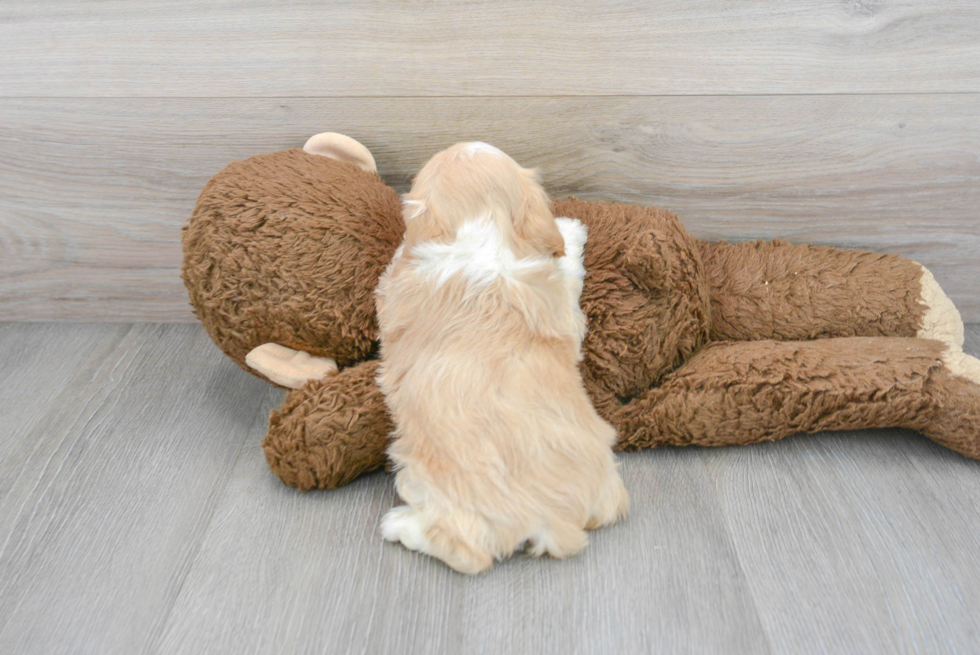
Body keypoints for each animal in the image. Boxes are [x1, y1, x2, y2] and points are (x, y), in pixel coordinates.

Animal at [376, 142, 628, 576]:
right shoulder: (562, 308)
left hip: (427, 478)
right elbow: (566, 270)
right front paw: (571, 232)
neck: (482, 231)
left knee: (467, 552)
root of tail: (552, 520)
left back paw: (401, 526)